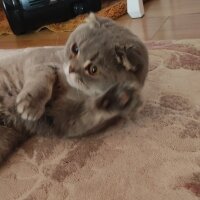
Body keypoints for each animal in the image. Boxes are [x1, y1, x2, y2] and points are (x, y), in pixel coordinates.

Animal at [0, 14, 148, 164]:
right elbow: (41, 80)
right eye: (75, 49)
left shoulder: (60, 117)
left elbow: (88, 113)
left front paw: (122, 98)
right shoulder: (40, 63)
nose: (71, 68)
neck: (70, 88)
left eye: (93, 69)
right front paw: (30, 105)